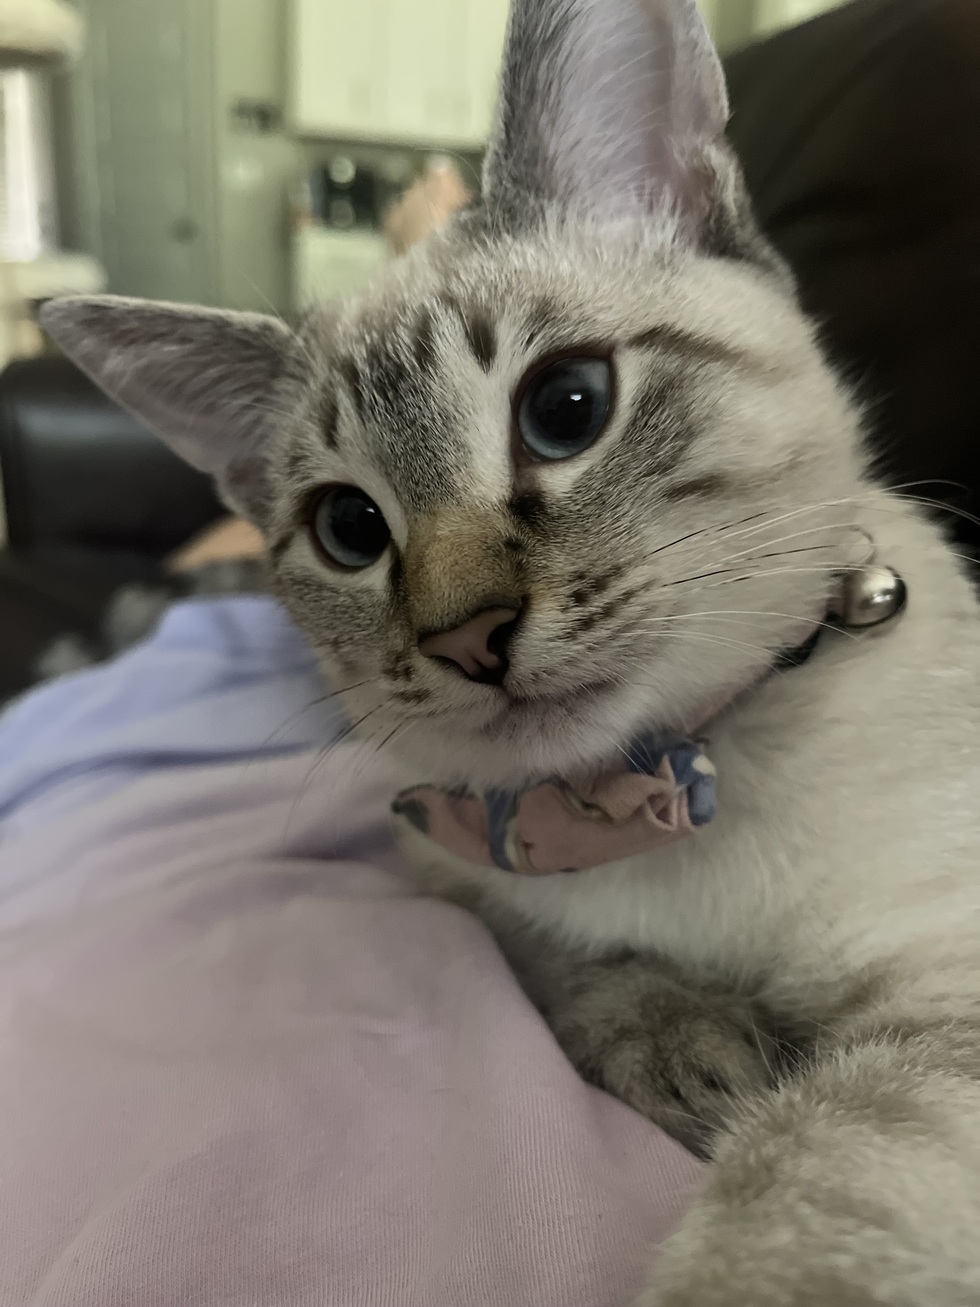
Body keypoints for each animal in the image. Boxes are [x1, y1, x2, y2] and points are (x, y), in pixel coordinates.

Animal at [39, 0, 980, 1302]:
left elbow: (802, 1208)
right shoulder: (441, 855)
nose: (464, 635)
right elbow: (556, 953)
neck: (657, 781)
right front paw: (681, 1042)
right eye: (349, 529)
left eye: (566, 408)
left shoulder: (946, 1001)